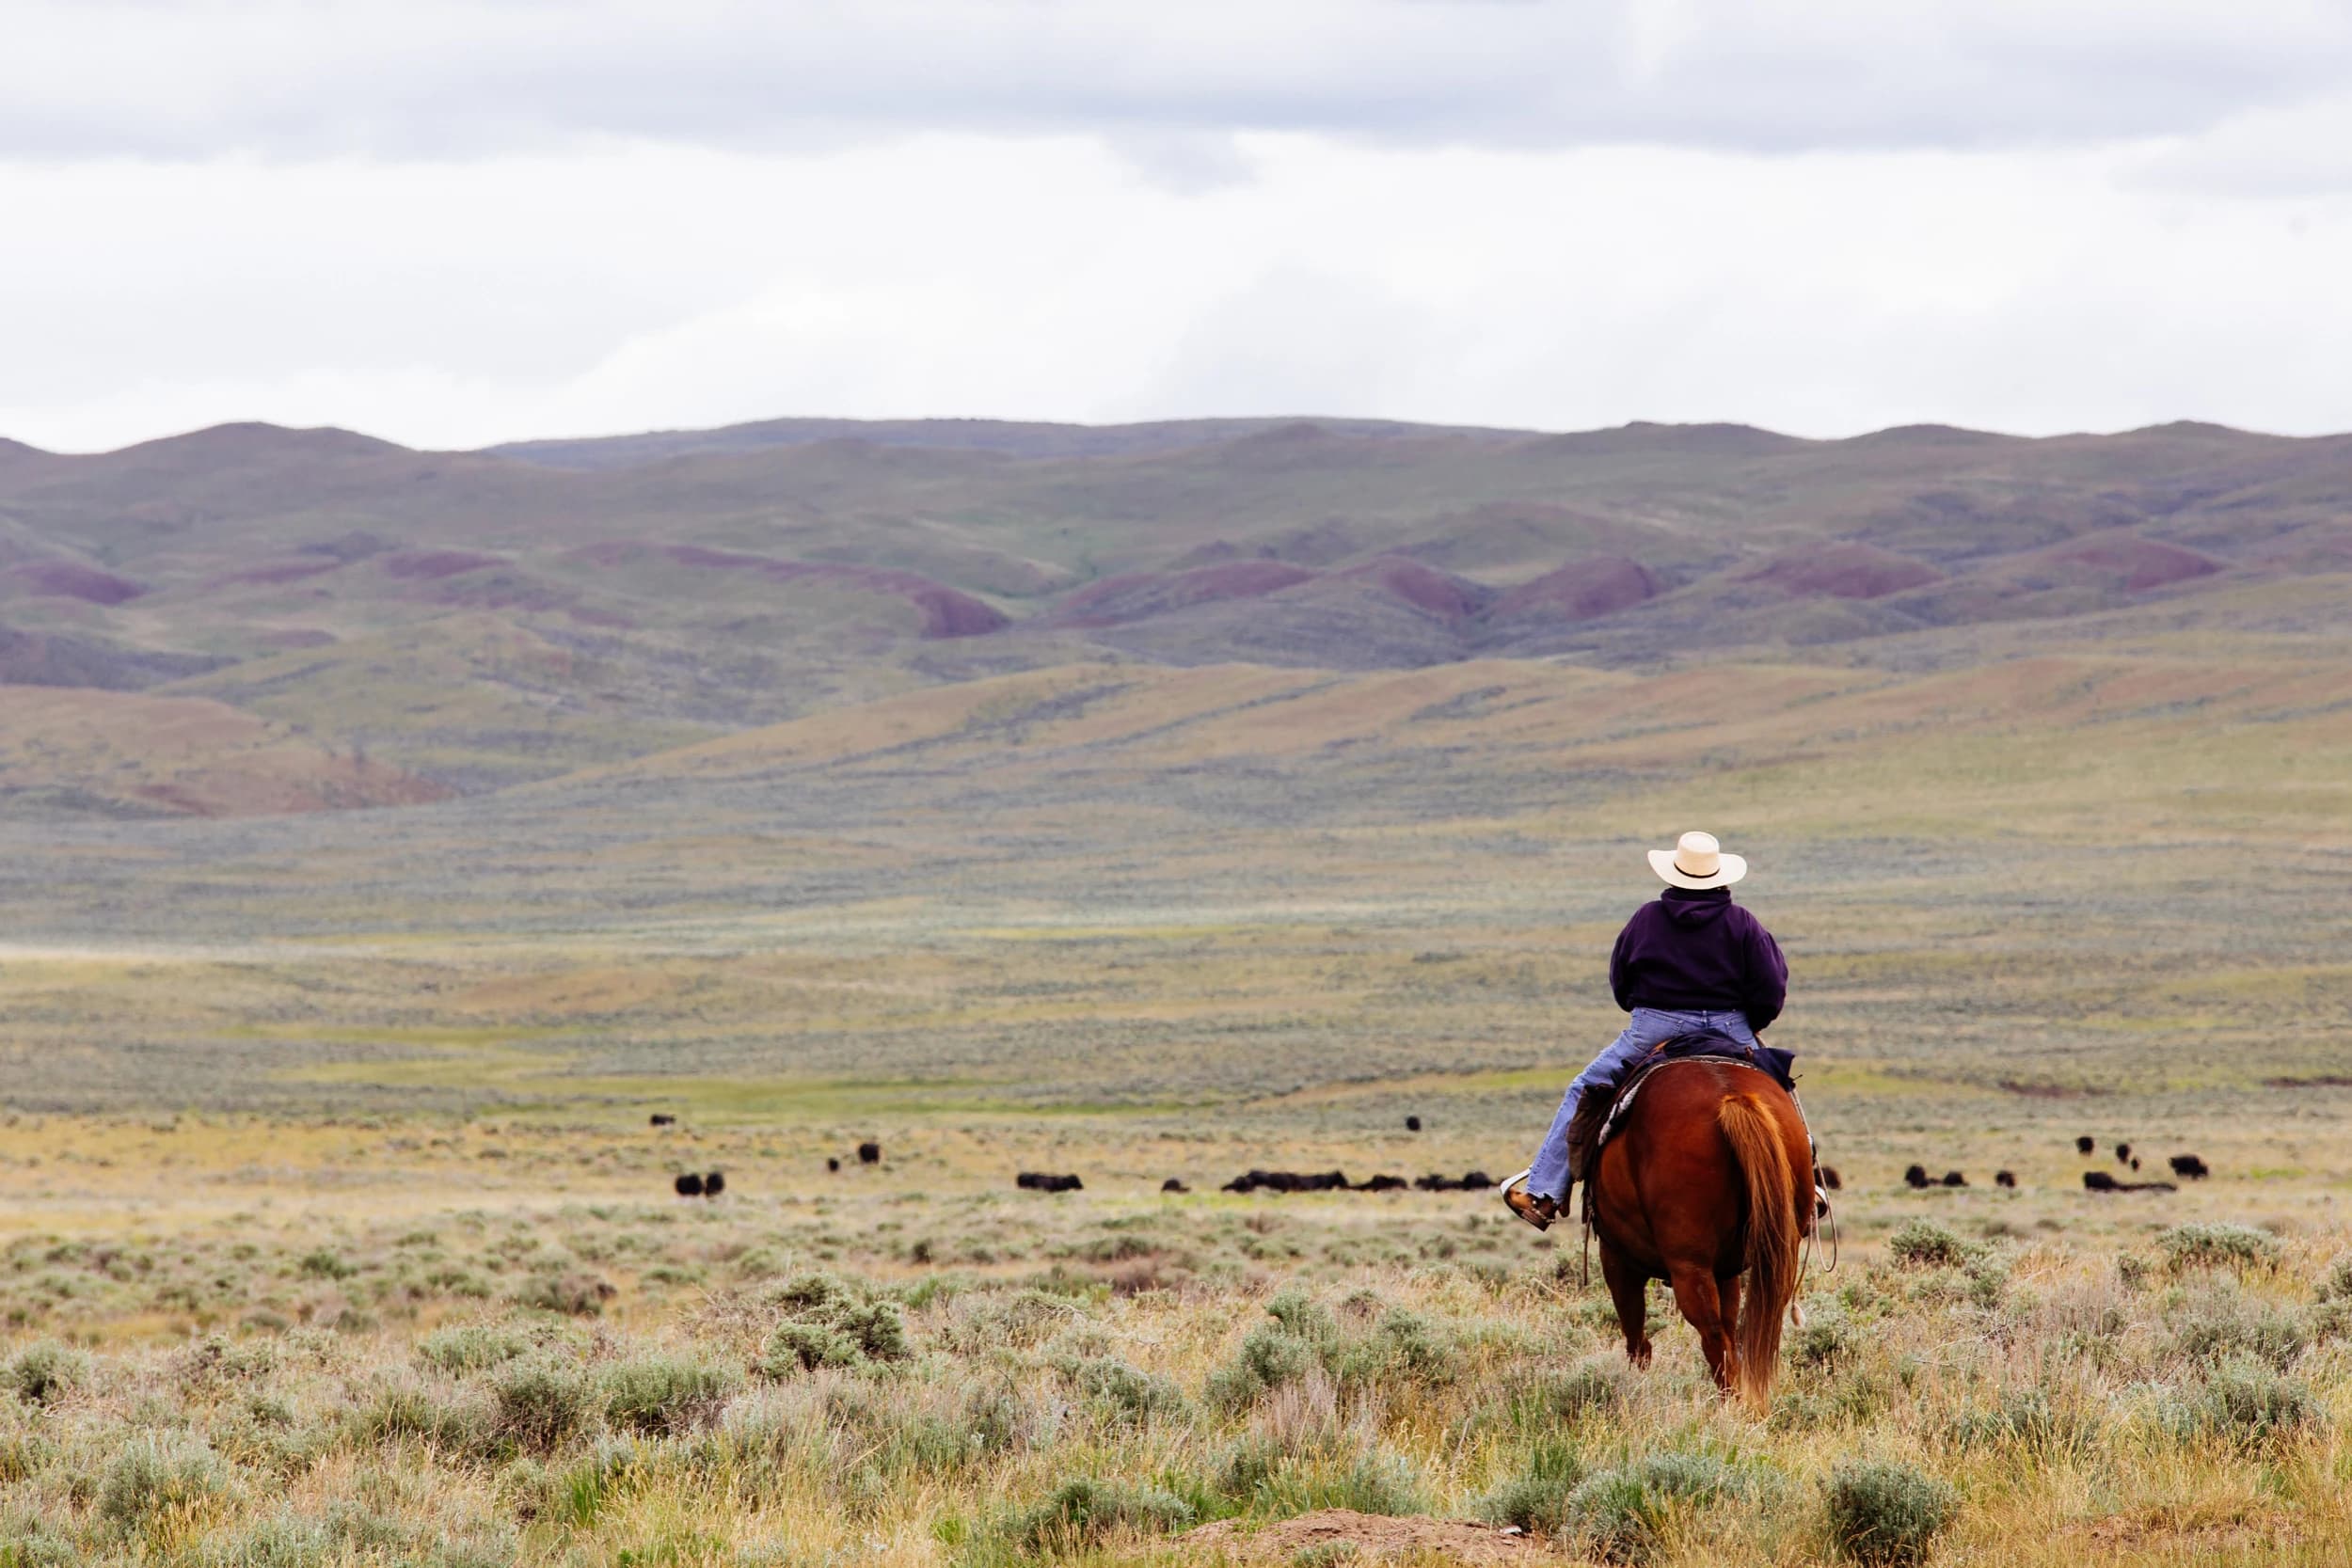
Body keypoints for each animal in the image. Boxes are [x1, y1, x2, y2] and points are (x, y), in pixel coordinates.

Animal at [1590, 1053, 1806, 1410]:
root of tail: (1731, 1098)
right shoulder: (1727, 1270)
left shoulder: (1616, 1256)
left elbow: (1634, 1330)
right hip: (1776, 1254)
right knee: (1753, 1327)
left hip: (1688, 1265)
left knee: (1711, 1335)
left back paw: (1733, 1407)